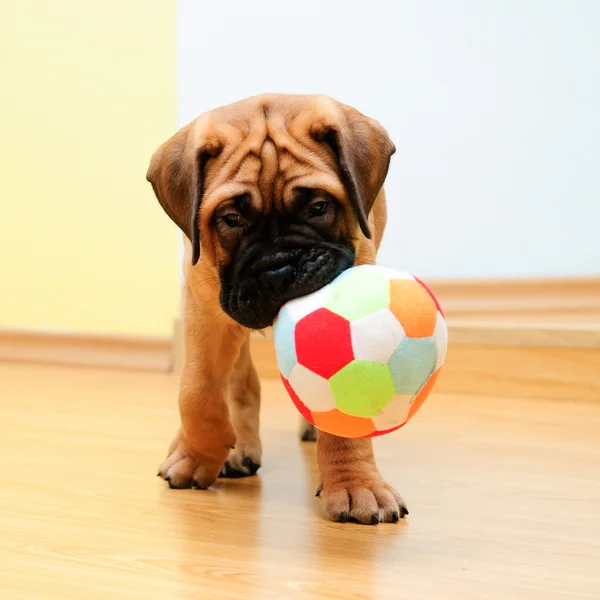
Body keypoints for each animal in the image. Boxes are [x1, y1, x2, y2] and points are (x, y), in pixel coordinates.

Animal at [146, 94, 408, 524]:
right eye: (231, 219)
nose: (278, 271)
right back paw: (235, 449)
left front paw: (356, 485)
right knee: (240, 383)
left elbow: (344, 408)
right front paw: (196, 456)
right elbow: (198, 392)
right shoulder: (206, 314)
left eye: (318, 207)